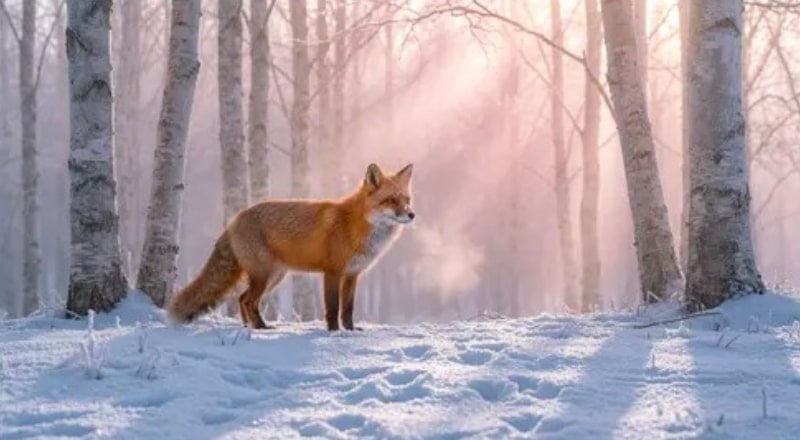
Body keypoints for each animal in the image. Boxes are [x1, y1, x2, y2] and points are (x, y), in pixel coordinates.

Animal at [167, 163, 415, 331]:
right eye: (391, 200)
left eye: (406, 199)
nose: (412, 215)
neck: (357, 225)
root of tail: (234, 220)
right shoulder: (333, 272)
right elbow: (333, 308)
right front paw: (334, 333)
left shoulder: (353, 274)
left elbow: (348, 309)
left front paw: (351, 331)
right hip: (265, 274)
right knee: (248, 300)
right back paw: (261, 328)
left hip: (274, 276)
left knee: (242, 299)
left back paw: (249, 328)